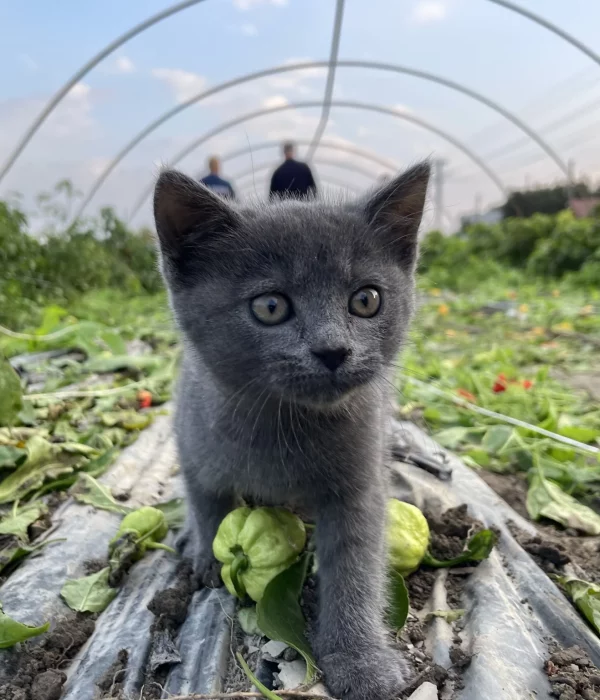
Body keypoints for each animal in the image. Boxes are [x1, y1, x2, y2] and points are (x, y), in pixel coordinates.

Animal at [152, 164, 428, 700]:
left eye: (366, 300)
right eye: (270, 306)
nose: (333, 350)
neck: (284, 425)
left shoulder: (360, 483)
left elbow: (354, 566)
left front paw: (361, 662)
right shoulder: (192, 436)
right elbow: (207, 500)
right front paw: (204, 550)